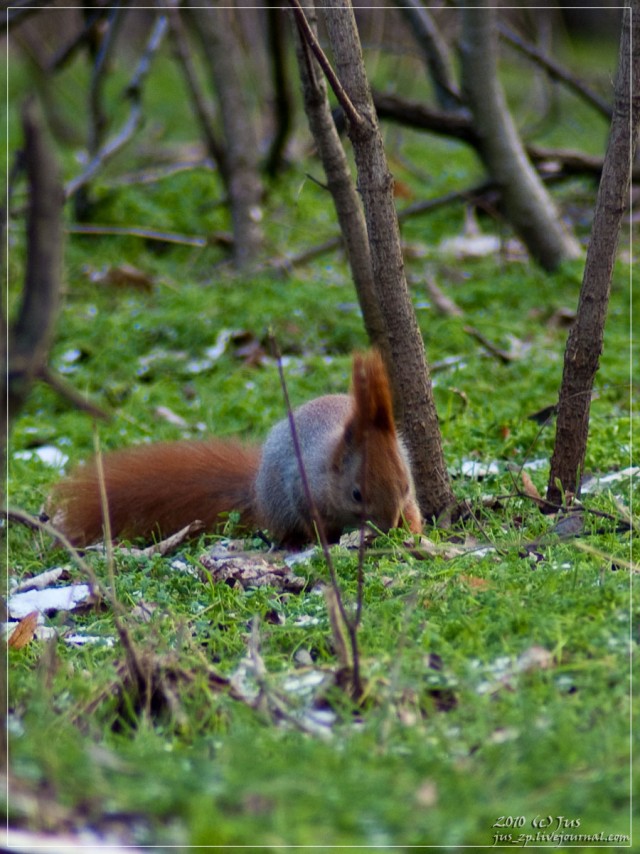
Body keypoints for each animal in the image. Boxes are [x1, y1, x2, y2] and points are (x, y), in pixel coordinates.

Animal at [52, 352, 422, 548]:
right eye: (357, 494)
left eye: (406, 486)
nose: (388, 527)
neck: (330, 464)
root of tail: (255, 488)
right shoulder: (301, 488)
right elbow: (315, 523)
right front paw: (326, 542)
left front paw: (410, 532)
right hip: (277, 504)